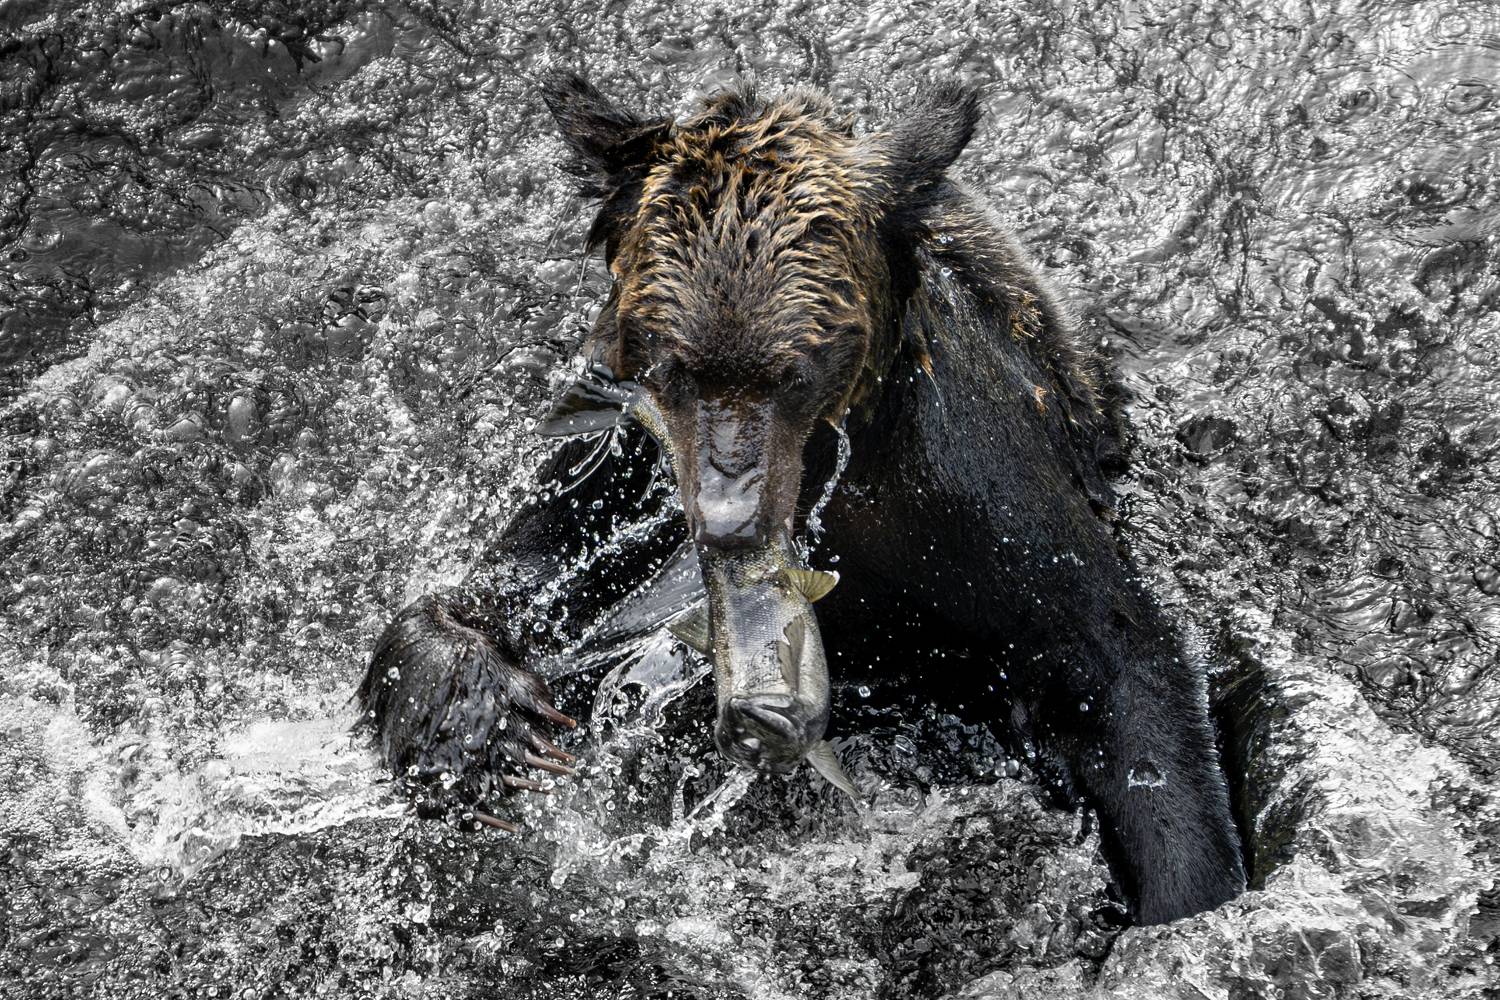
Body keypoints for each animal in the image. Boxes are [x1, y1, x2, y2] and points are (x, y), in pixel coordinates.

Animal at [358, 72, 1247, 926]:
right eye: (676, 366)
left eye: (793, 370)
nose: (731, 518)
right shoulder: (621, 466)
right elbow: (517, 582)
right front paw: (473, 718)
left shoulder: (970, 486)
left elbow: (1115, 660)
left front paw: (1183, 893)